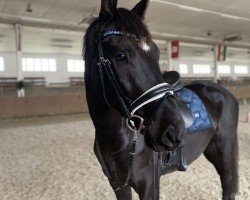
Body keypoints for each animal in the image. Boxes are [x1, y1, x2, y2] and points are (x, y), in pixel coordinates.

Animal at [84, 0, 238, 199]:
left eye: (157, 53)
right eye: (121, 55)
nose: (174, 131)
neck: (117, 141)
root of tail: (224, 92)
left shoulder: (150, 185)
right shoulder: (118, 186)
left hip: (224, 152)